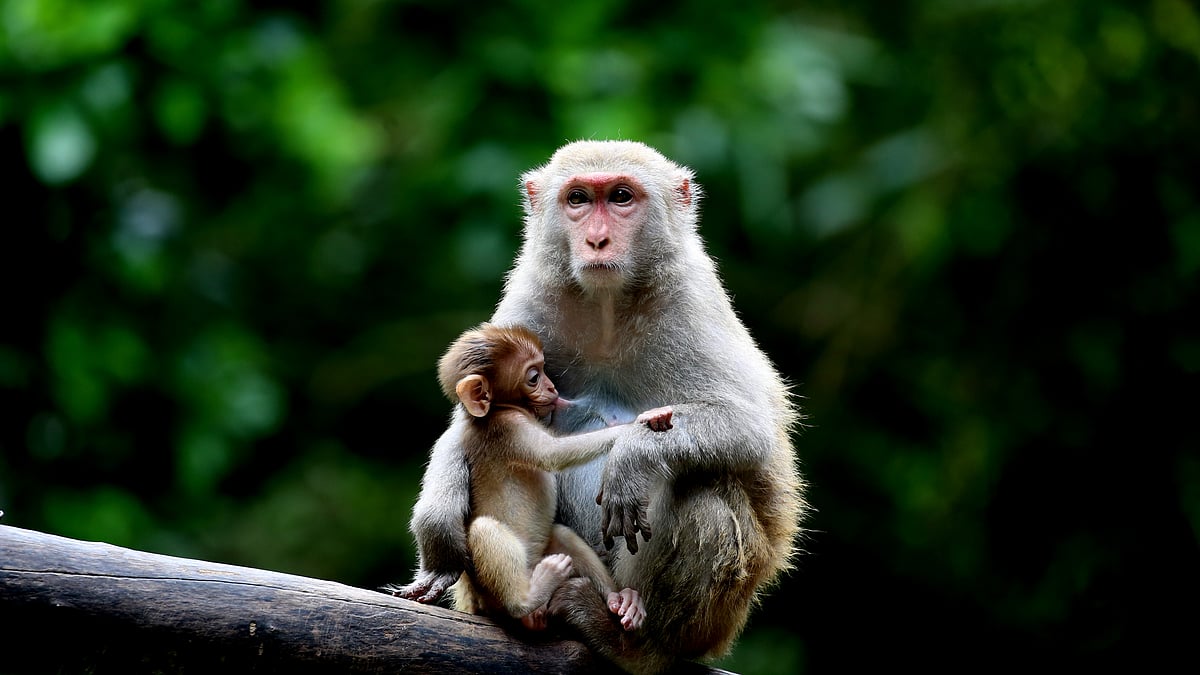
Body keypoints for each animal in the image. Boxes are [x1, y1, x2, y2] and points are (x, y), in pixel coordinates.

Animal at [433, 322, 673, 633]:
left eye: (544, 369)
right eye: (534, 377)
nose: (552, 387)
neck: (497, 412)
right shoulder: (511, 427)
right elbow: (554, 454)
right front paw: (640, 422)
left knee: (561, 535)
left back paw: (617, 599)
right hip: (491, 593)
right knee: (485, 530)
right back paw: (527, 599)